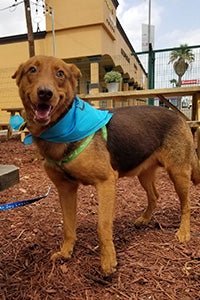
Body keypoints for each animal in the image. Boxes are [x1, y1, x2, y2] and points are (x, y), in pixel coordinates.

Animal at [12, 55, 200, 276]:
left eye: (60, 73)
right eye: (32, 70)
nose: (45, 93)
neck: (61, 129)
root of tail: (179, 117)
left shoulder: (106, 183)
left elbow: (102, 226)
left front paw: (108, 261)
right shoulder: (65, 189)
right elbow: (68, 226)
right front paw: (66, 252)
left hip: (178, 173)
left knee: (186, 204)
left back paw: (184, 231)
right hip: (143, 173)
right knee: (155, 196)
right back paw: (145, 219)